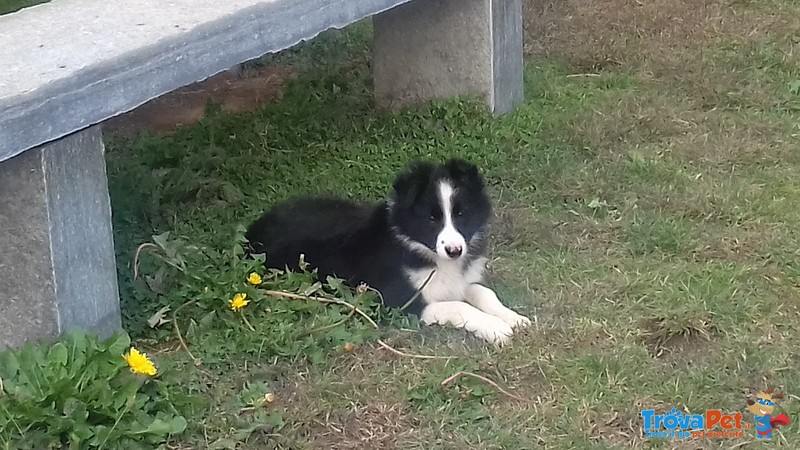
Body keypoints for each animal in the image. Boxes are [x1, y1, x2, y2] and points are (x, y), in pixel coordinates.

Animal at [245, 158, 532, 344]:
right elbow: (458, 306)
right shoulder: (401, 302)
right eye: (431, 218)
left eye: (461, 214)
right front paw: (495, 328)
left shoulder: (459, 281)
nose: (454, 250)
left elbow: (482, 291)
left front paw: (513, 318)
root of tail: (255, 227)